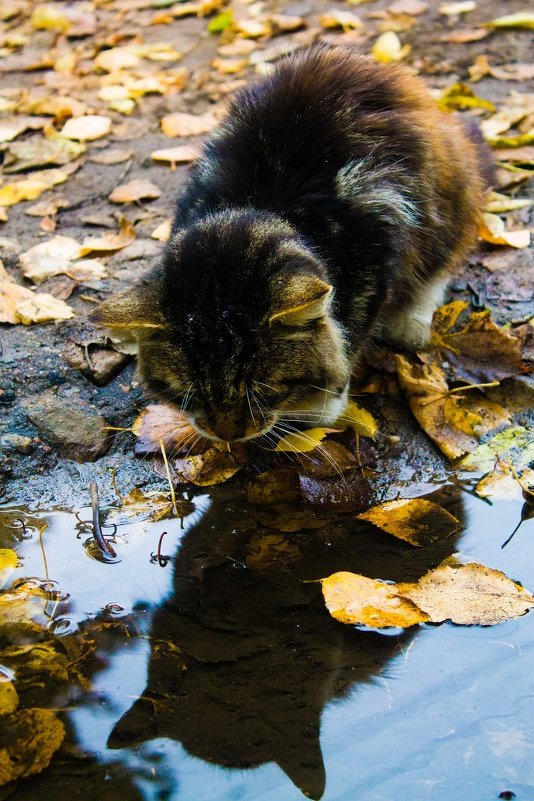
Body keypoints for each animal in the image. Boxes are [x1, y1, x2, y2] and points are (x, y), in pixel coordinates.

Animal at [94, 42, 496, 444]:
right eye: (189, 393)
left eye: (262, 390)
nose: (229, 436)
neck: (259, 204)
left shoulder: (377, 249)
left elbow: (348, 336)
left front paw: (322, 404)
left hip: (447, 202)